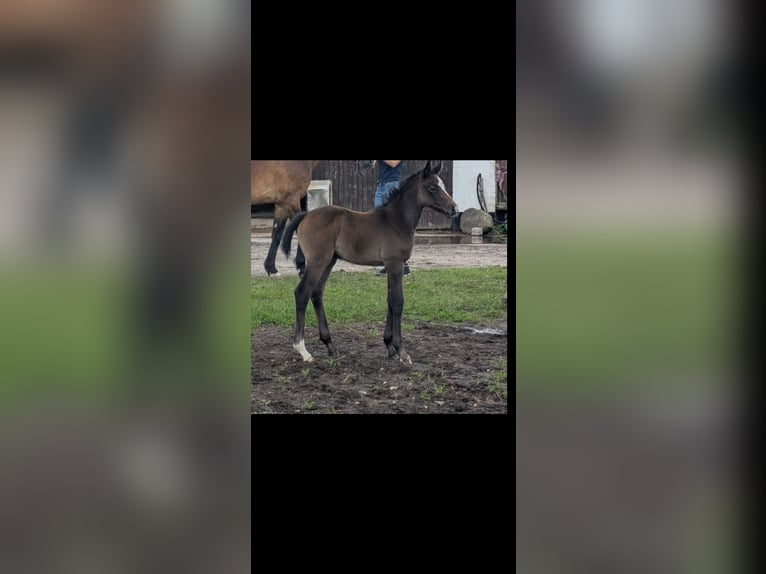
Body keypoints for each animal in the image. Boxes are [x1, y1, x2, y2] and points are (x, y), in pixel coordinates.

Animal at [280, 160, 458, 364]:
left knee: (316, 293)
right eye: (433, 187)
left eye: (442, 185)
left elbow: (390, 300)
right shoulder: (395, 263)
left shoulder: (390, 265)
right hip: (318, 261)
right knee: (302, 293)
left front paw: (389, 346)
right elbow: (398, 302)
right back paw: (303, 350)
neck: (396, 220)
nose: (454, 209)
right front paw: (402, 351)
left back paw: (330, 345)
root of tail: (306, 215)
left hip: (329, 261)